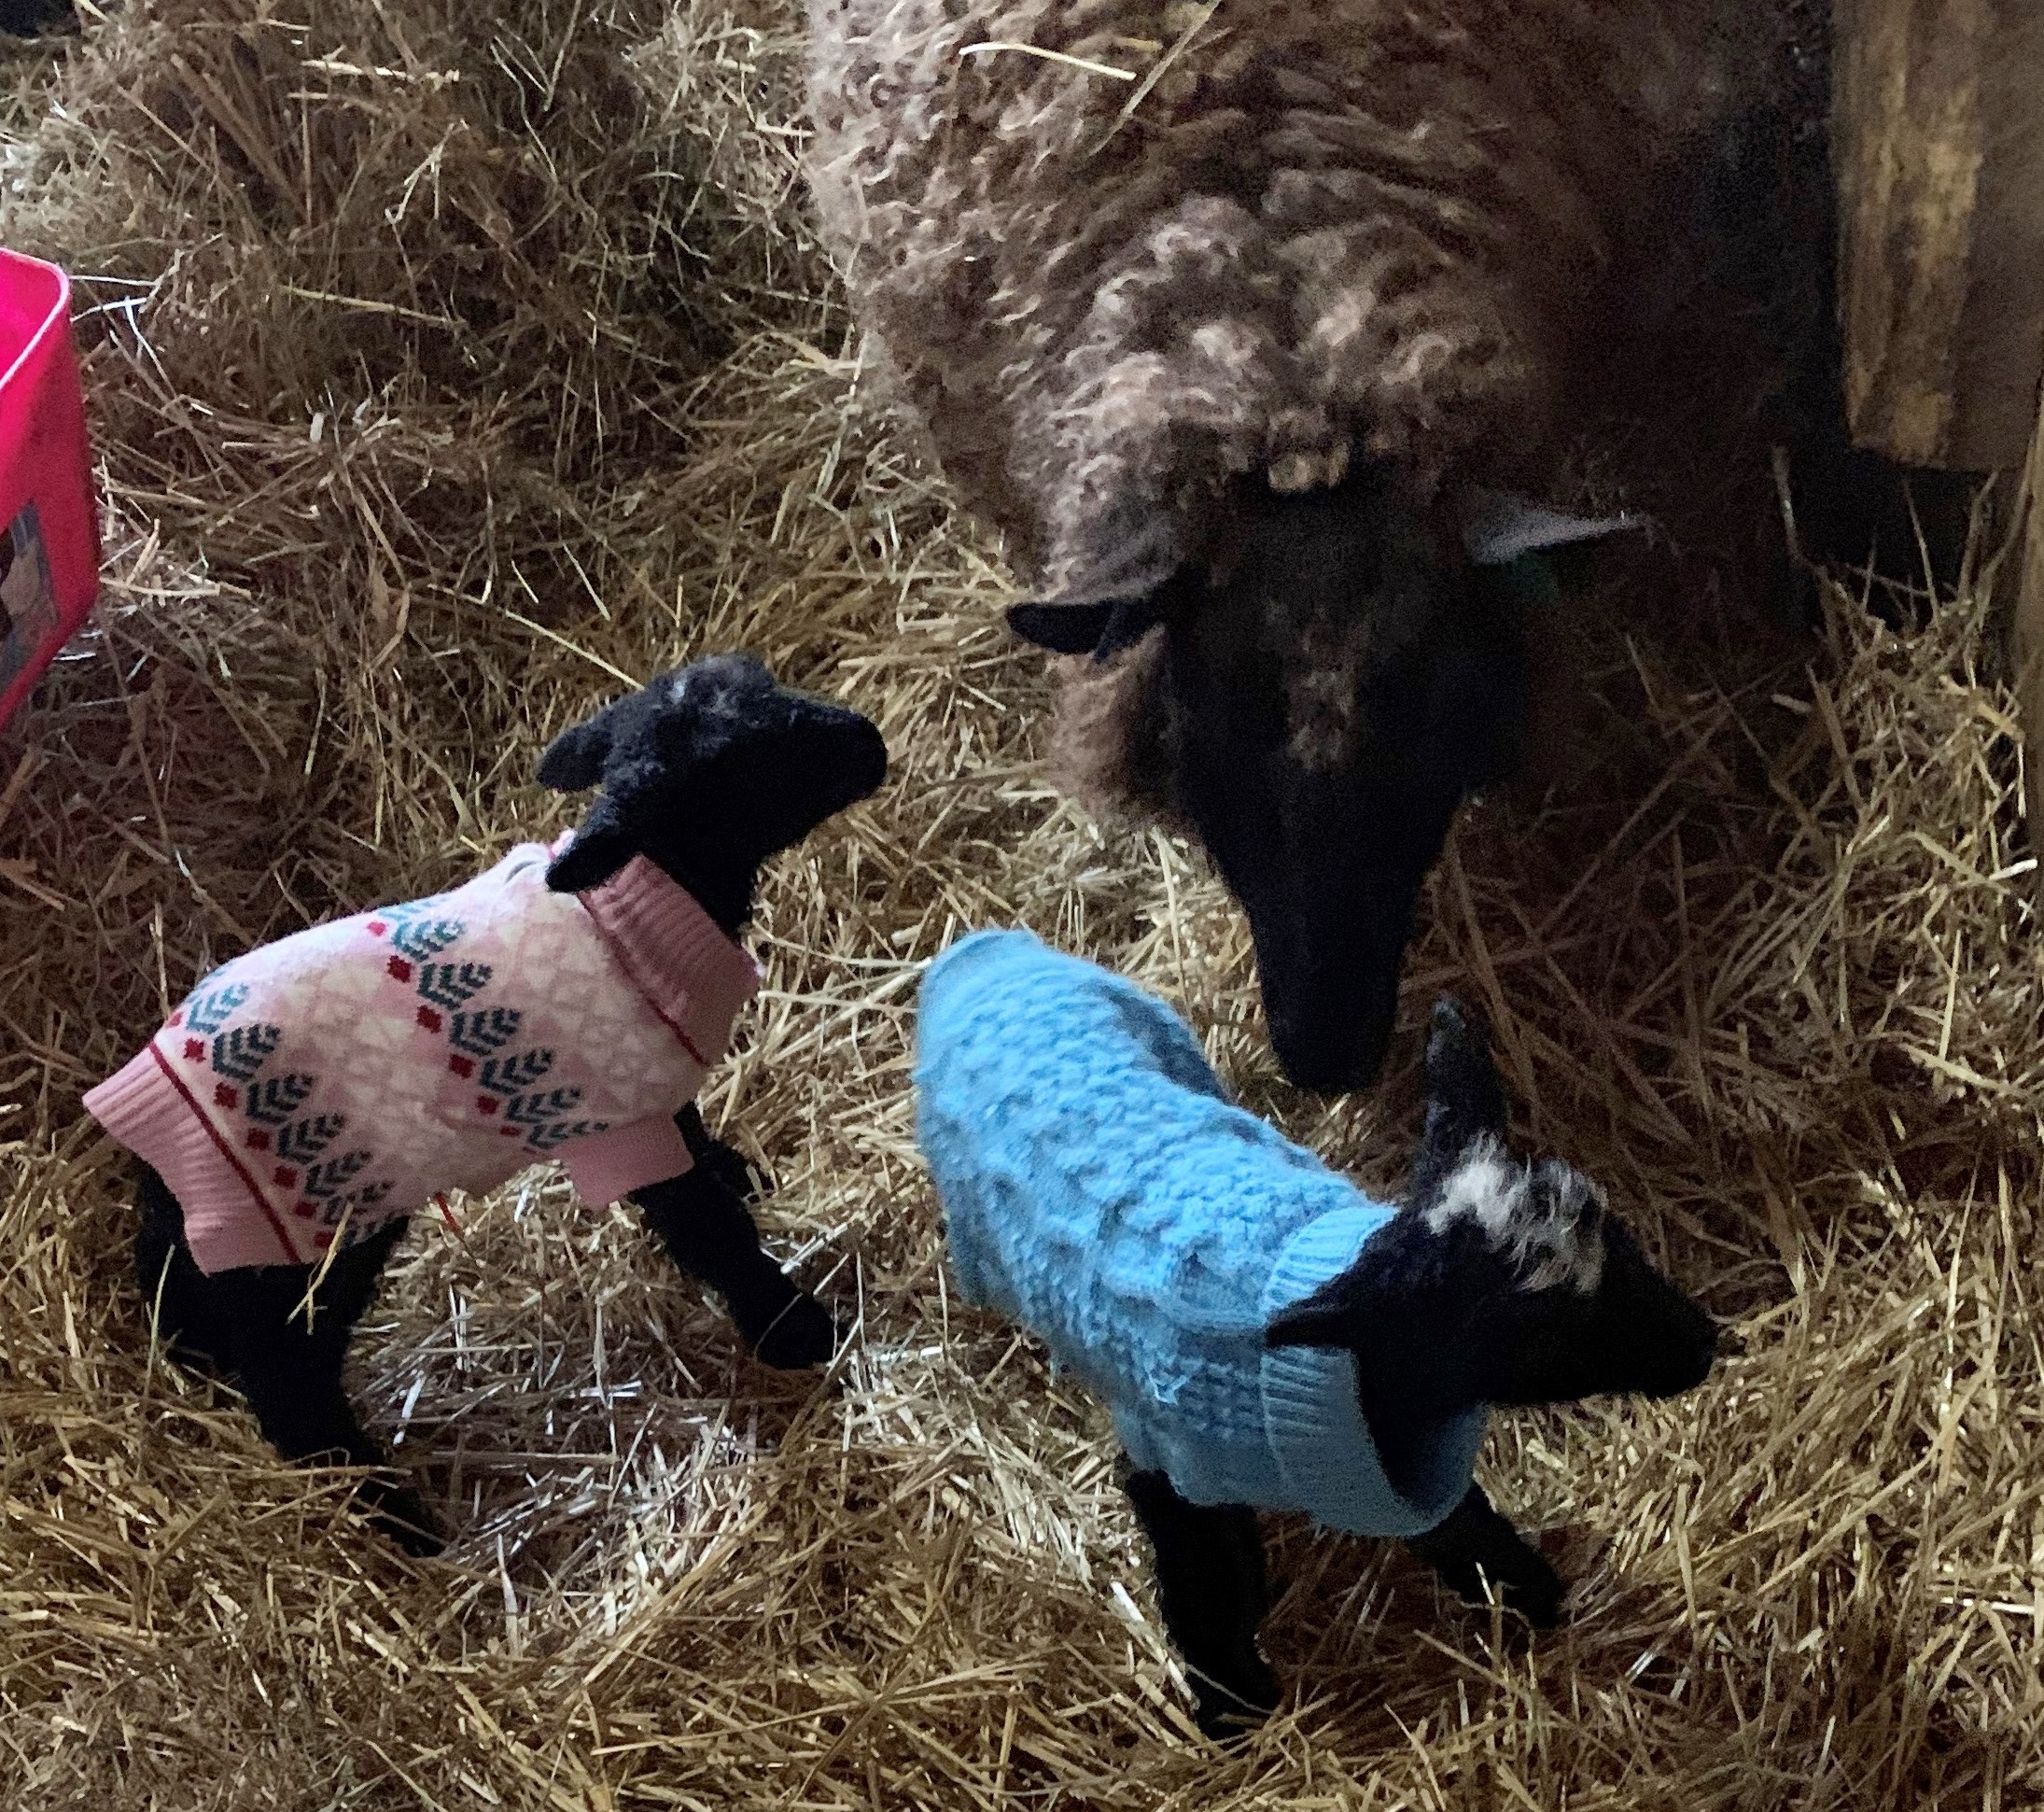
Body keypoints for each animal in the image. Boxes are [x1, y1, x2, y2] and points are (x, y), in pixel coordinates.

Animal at [919, 945, 1716, 1734]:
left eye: (1615, 1234)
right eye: (1533, 1337)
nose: (1703, 1346)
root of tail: (983, 952)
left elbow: (1457, 1523)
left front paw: (1529, 1591)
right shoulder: (1163, 1457)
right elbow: (1202, 1578)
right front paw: (1233, 1704)